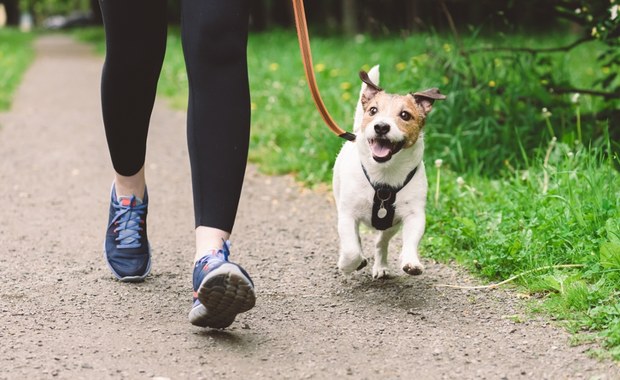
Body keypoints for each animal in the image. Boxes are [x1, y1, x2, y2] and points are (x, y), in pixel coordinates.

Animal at [334, 66, 446, 280]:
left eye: (405, 115)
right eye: (373, 111)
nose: (381, 126)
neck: (384, 175)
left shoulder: (414, 215)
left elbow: (411, 240)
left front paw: (411, 262)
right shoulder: (347, 214)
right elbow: (351, 249)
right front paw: (347, 264)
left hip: (391, 225)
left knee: (381, 242)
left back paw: (381, 266)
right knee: (357, 240)